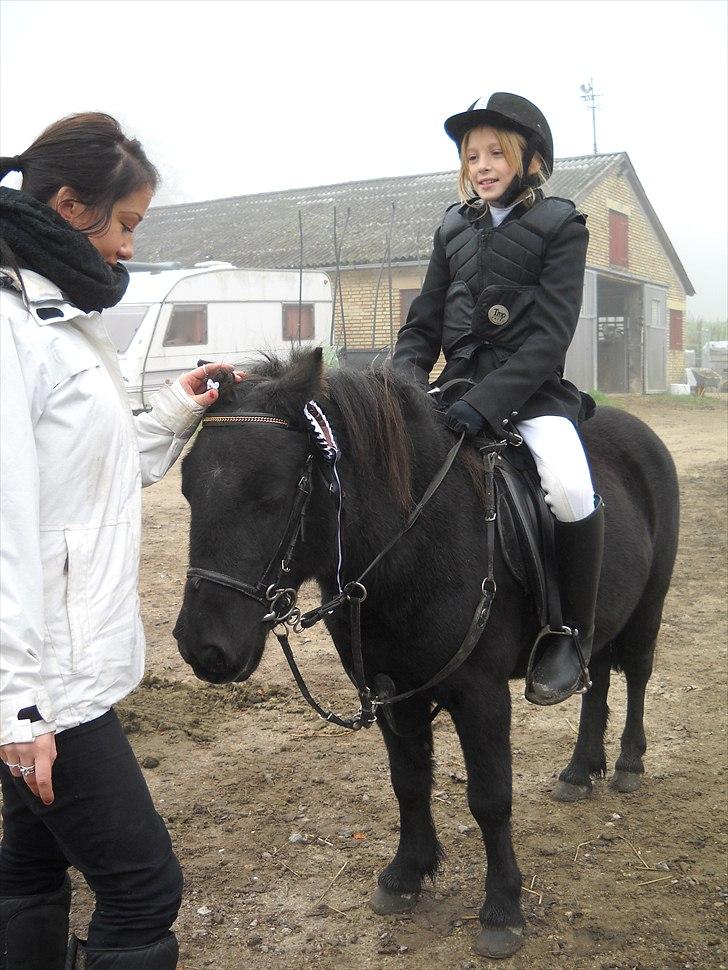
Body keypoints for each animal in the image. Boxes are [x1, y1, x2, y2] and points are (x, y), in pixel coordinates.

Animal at [173, 346, 680, 952]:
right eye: (187, 489)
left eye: (270, 495)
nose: (203, 647)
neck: (412, 540)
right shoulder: (391, 689)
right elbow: (409, 783)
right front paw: (405, 874)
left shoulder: (481, 694)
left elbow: (490, 797)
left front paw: (502, 908)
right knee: (595, 677)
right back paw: (581, 770)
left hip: (648, 607)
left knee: (637, 675)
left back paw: (627, 763)